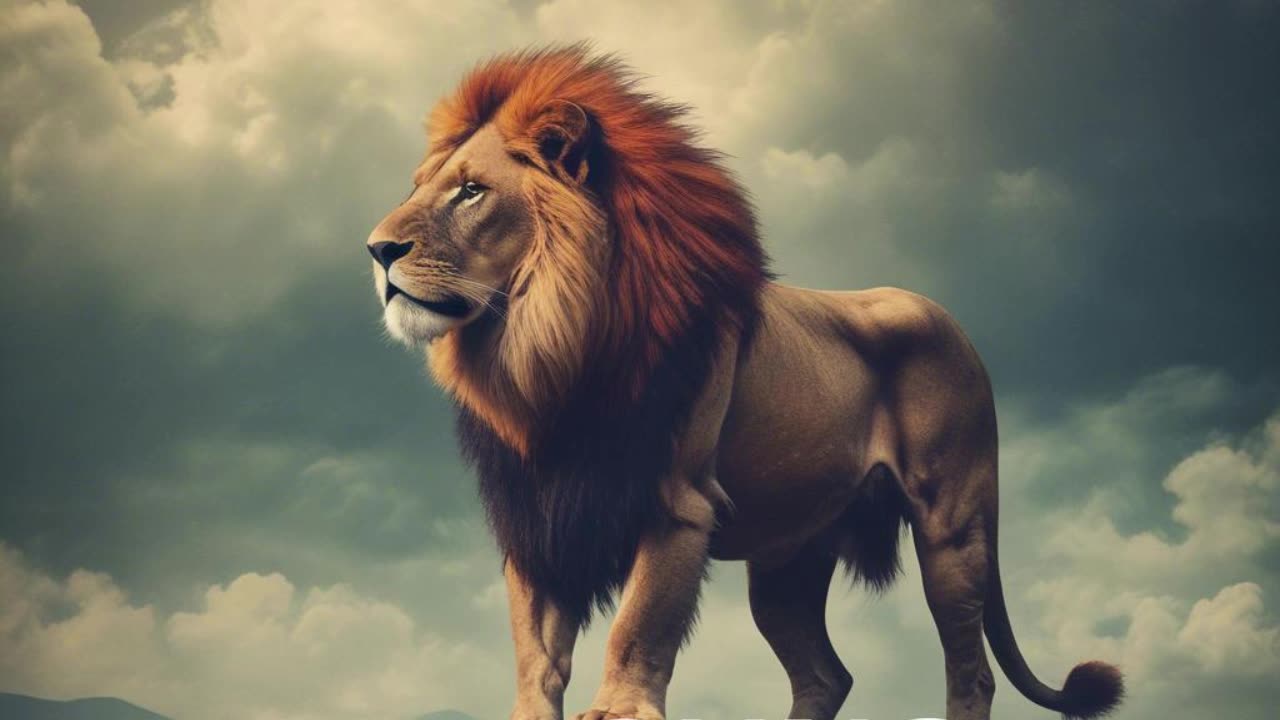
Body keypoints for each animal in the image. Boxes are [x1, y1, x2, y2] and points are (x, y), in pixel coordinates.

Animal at [365, 45, 1124, 720]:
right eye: (420, 187)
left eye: (471, 191)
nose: (377, 250)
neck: (545, 347)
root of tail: (957, 326)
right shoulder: (538, 512)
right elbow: (536, 650)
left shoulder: (677, 502)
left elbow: (637, 624)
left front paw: (617, 711)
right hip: (788, 561)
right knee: (826, 676)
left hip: (953, 528)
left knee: (971, 672)